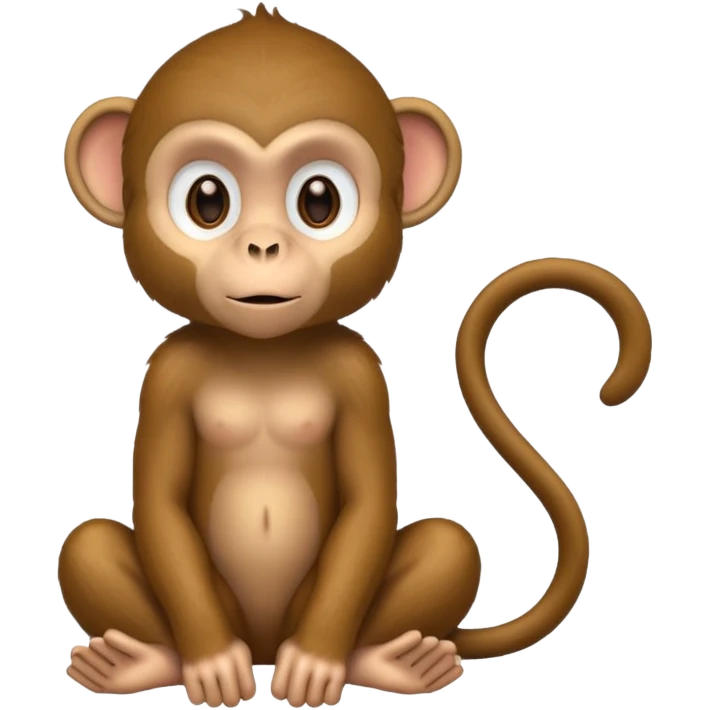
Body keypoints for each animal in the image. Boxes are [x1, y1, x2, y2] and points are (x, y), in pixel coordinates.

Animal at [57, 5, 653, 709]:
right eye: (207, 200)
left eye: (319, 201)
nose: (264, 246)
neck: (264, 352)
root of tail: (265, 648)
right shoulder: (168, 373)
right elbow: (159, 500)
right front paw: (210, 664)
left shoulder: (359, 370)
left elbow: (370, 497)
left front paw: (317, 665)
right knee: (87, 545)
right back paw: (147, 661)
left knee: (448, 544)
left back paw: (385, 662)